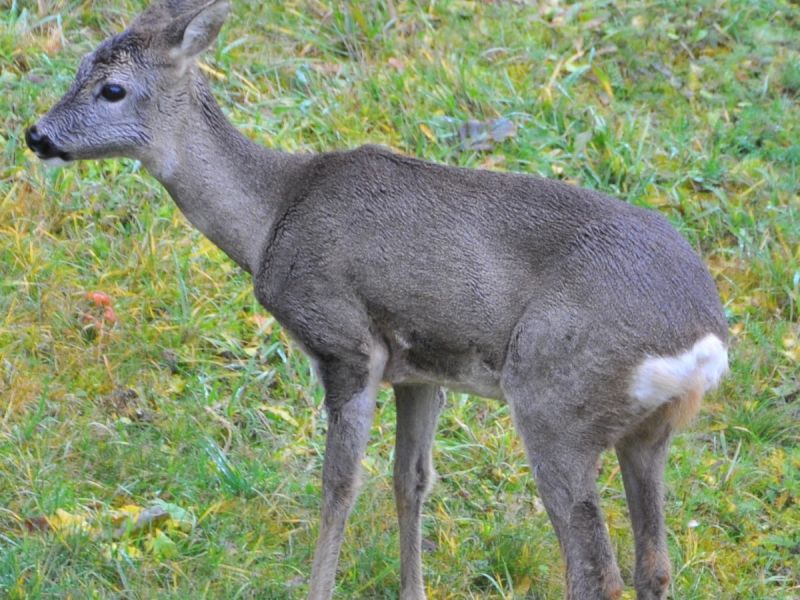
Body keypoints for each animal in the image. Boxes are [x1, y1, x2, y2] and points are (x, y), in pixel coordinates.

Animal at [26, 1, 729, 598]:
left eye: (112, 89)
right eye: (81, 68)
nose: (36, 134)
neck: (272, 218)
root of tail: (704, 339)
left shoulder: (345, 341)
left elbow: (339, 482)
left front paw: (318, 588)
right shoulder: (421, 370)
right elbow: (410, 479)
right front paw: (412, 589)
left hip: (555, 400)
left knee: (595, 571)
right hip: (647, 430)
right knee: (654, 566)